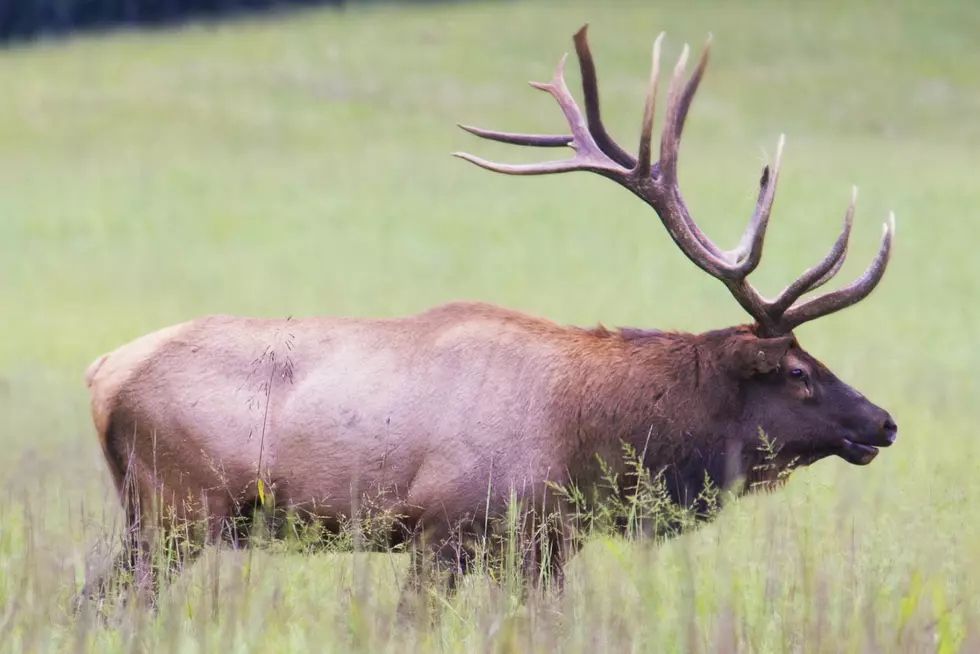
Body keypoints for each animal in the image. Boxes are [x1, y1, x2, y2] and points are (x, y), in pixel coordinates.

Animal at [82, 25, 896, 608]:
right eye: (798, 372)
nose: (884, 421)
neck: (590, 438)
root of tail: (100, 374)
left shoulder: (544, 543)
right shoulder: (446, 529)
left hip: (154, 517)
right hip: (178, 509)